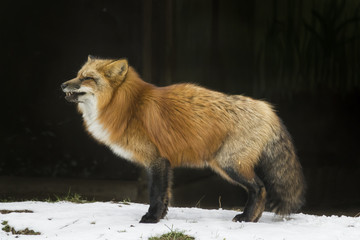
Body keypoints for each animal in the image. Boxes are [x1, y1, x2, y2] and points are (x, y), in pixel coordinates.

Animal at [60, 55, 306, 223]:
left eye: (87, 78)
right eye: (78, 74)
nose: (62, 84)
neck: (129, 107)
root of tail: (267, 108)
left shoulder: (156, 159)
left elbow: (156, 194)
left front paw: (151, 219)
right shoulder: (165, 161)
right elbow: (166, 195)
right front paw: (161, 217)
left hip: (228, 164)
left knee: (260, 188)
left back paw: (246, 217)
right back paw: (252, 219)